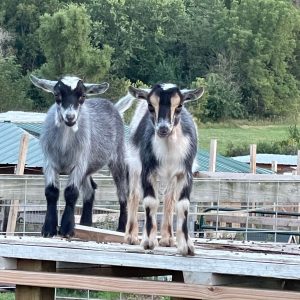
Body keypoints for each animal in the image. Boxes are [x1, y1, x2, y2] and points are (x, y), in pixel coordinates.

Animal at [29, 74, 129, 237]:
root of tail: (115, 107)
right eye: (57, 95)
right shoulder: (49, 162)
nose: (70, 117)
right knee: (90, 190)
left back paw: (121, 228)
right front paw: (48, 229)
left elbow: (71, 193)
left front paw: (66, 229)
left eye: (82, 96)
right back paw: (85, 223)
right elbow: (51, 192)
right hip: (87, 168)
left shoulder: (78, 163)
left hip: (118, 157)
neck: (64, 146)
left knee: (123, 192)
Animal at [122, 84, 204, 255]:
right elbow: (150, 201)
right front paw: (148, 242)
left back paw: (167, 239)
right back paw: (131, 237)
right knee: (134, 196)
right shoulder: (147, 170)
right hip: (134, 166)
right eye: (150, 105)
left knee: (169, 199)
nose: (163, 128)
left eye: (179, 106)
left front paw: (186, 246)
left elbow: (182, 204)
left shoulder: (185, 172)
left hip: (171, 177)